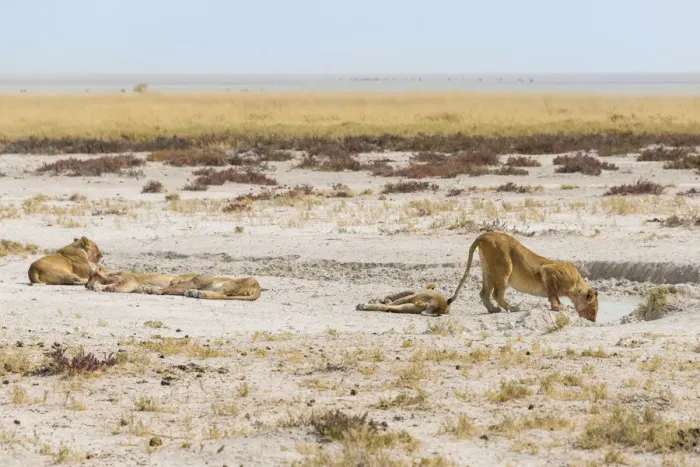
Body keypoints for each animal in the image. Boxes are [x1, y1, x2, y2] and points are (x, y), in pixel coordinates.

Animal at [447, 231, 598, 322]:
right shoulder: (547, 270)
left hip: (488, 270)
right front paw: (558, 307)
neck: (576, 287)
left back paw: (493, 309)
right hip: (504, 267)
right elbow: (553, 294)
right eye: (594, 308)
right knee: (497, 294)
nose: (593, 320)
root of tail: (485, 234)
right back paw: (512, 308)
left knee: (484, 293)